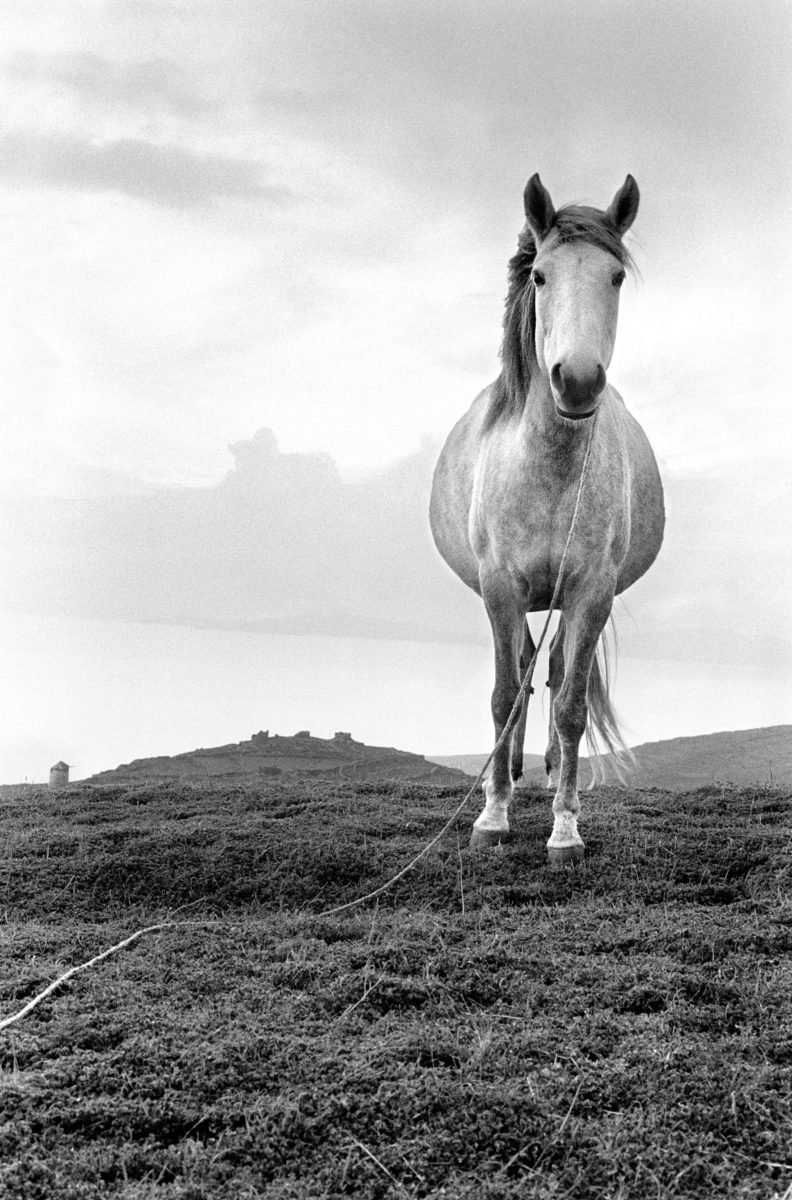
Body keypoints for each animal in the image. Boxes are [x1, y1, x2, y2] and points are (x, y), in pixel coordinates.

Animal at [429, 174, 667, 864]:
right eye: (539, 275)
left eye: (615, 277)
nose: (579, 381)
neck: (548, 469)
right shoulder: (500, 588)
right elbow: (504, 694)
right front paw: (491, 818)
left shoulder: (590, 592)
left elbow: (570, 707)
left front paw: (565, 828)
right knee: (522, 673)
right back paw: (506, 774)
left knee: (557, 674)